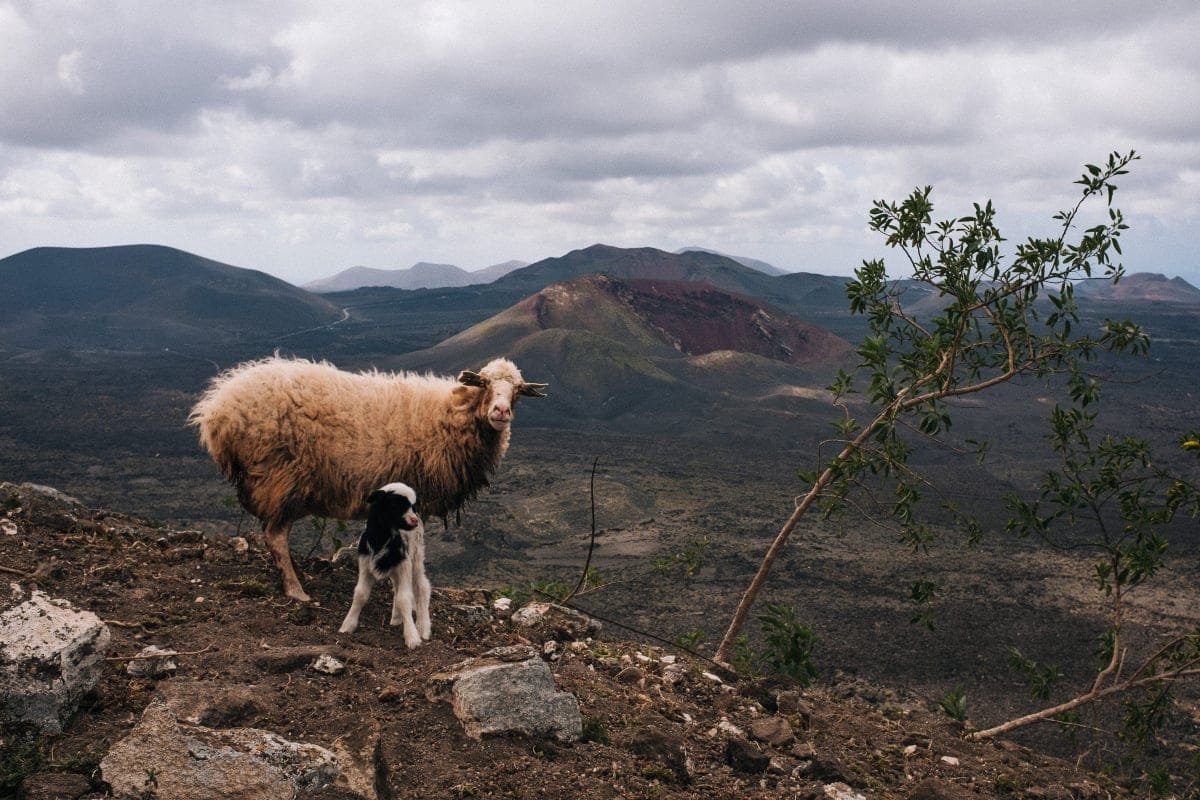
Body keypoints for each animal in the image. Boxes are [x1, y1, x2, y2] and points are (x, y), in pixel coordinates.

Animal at [188, 357, 549, 599]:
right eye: (484, 384)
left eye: (518, 391)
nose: (501, 412)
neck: (450, 414)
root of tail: (218, 410)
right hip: (282, 475)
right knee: (275, 536)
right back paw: (296, 590)